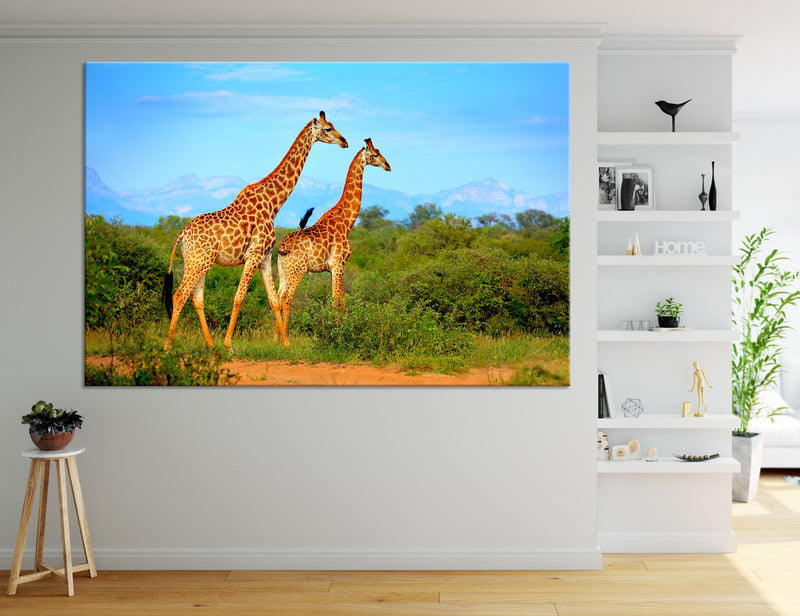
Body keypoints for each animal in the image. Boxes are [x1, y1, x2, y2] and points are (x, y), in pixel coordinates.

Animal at [162, 111, 348, 351]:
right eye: (327, 129)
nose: (344, 141)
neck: (273, 203)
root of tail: (182, 234)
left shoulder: (265, 257)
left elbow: (274, 300)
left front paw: (286, 344)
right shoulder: (253, 254)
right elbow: (239, 297)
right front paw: (228, 344)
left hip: (198, 262)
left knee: (196, 297)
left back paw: (210, 344)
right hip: (199, 261)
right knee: (179, 295)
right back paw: (168, 346)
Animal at [275, 138, 390, 340]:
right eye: (376, 154)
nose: (388, 166)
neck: (347, 221)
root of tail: (282, 248)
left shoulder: (332, 268)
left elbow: (341, 298)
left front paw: (341, 328)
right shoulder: (338, 264)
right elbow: (337, 299)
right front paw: (339, 333)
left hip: (283, 270)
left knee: (278, 297)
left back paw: (274, 339)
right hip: (298, 270)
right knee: (287, 298)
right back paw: (286, 337)